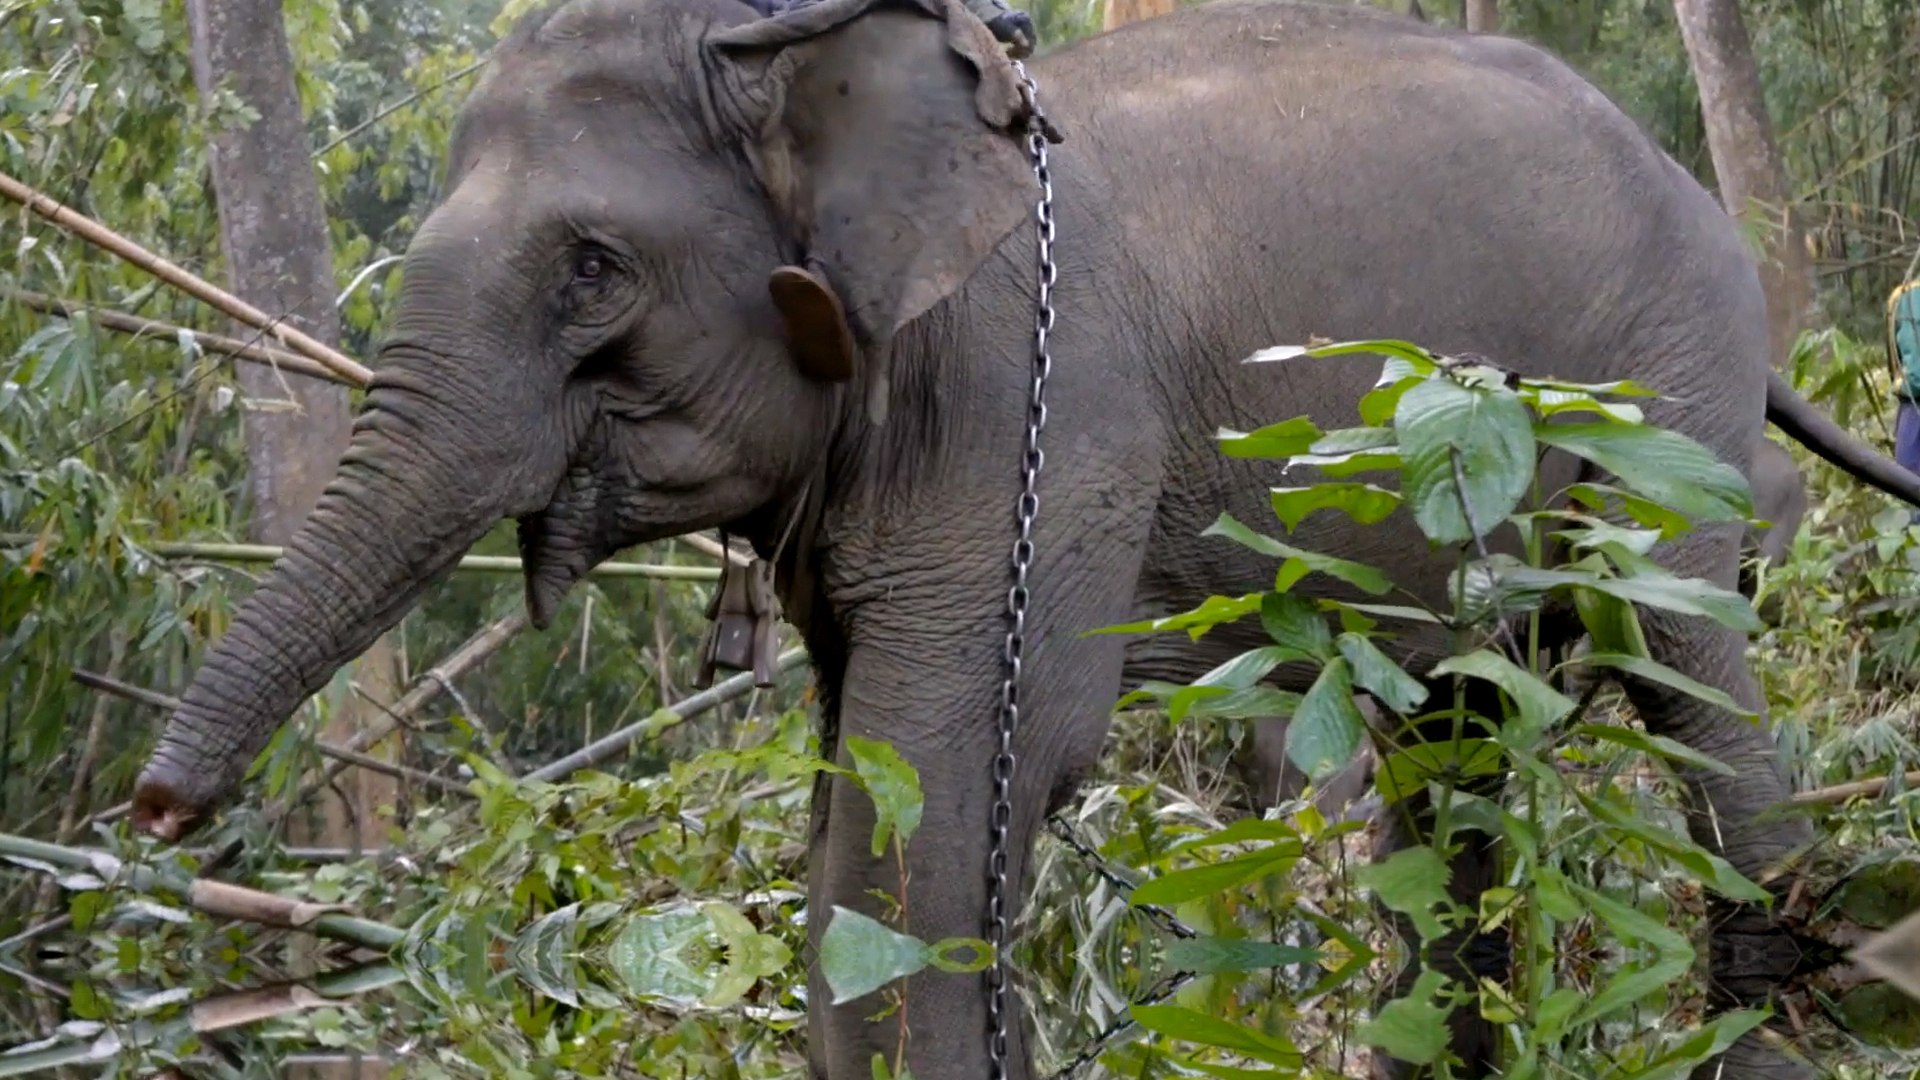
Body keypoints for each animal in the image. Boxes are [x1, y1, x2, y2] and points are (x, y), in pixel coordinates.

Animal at [125, 0, 1920, 1077]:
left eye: (589, 270)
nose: (156, 817)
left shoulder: (1029, 396)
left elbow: (963, 760)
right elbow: (856, 781)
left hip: (1666, 402)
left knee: (1681, 675)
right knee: (1458, 743)